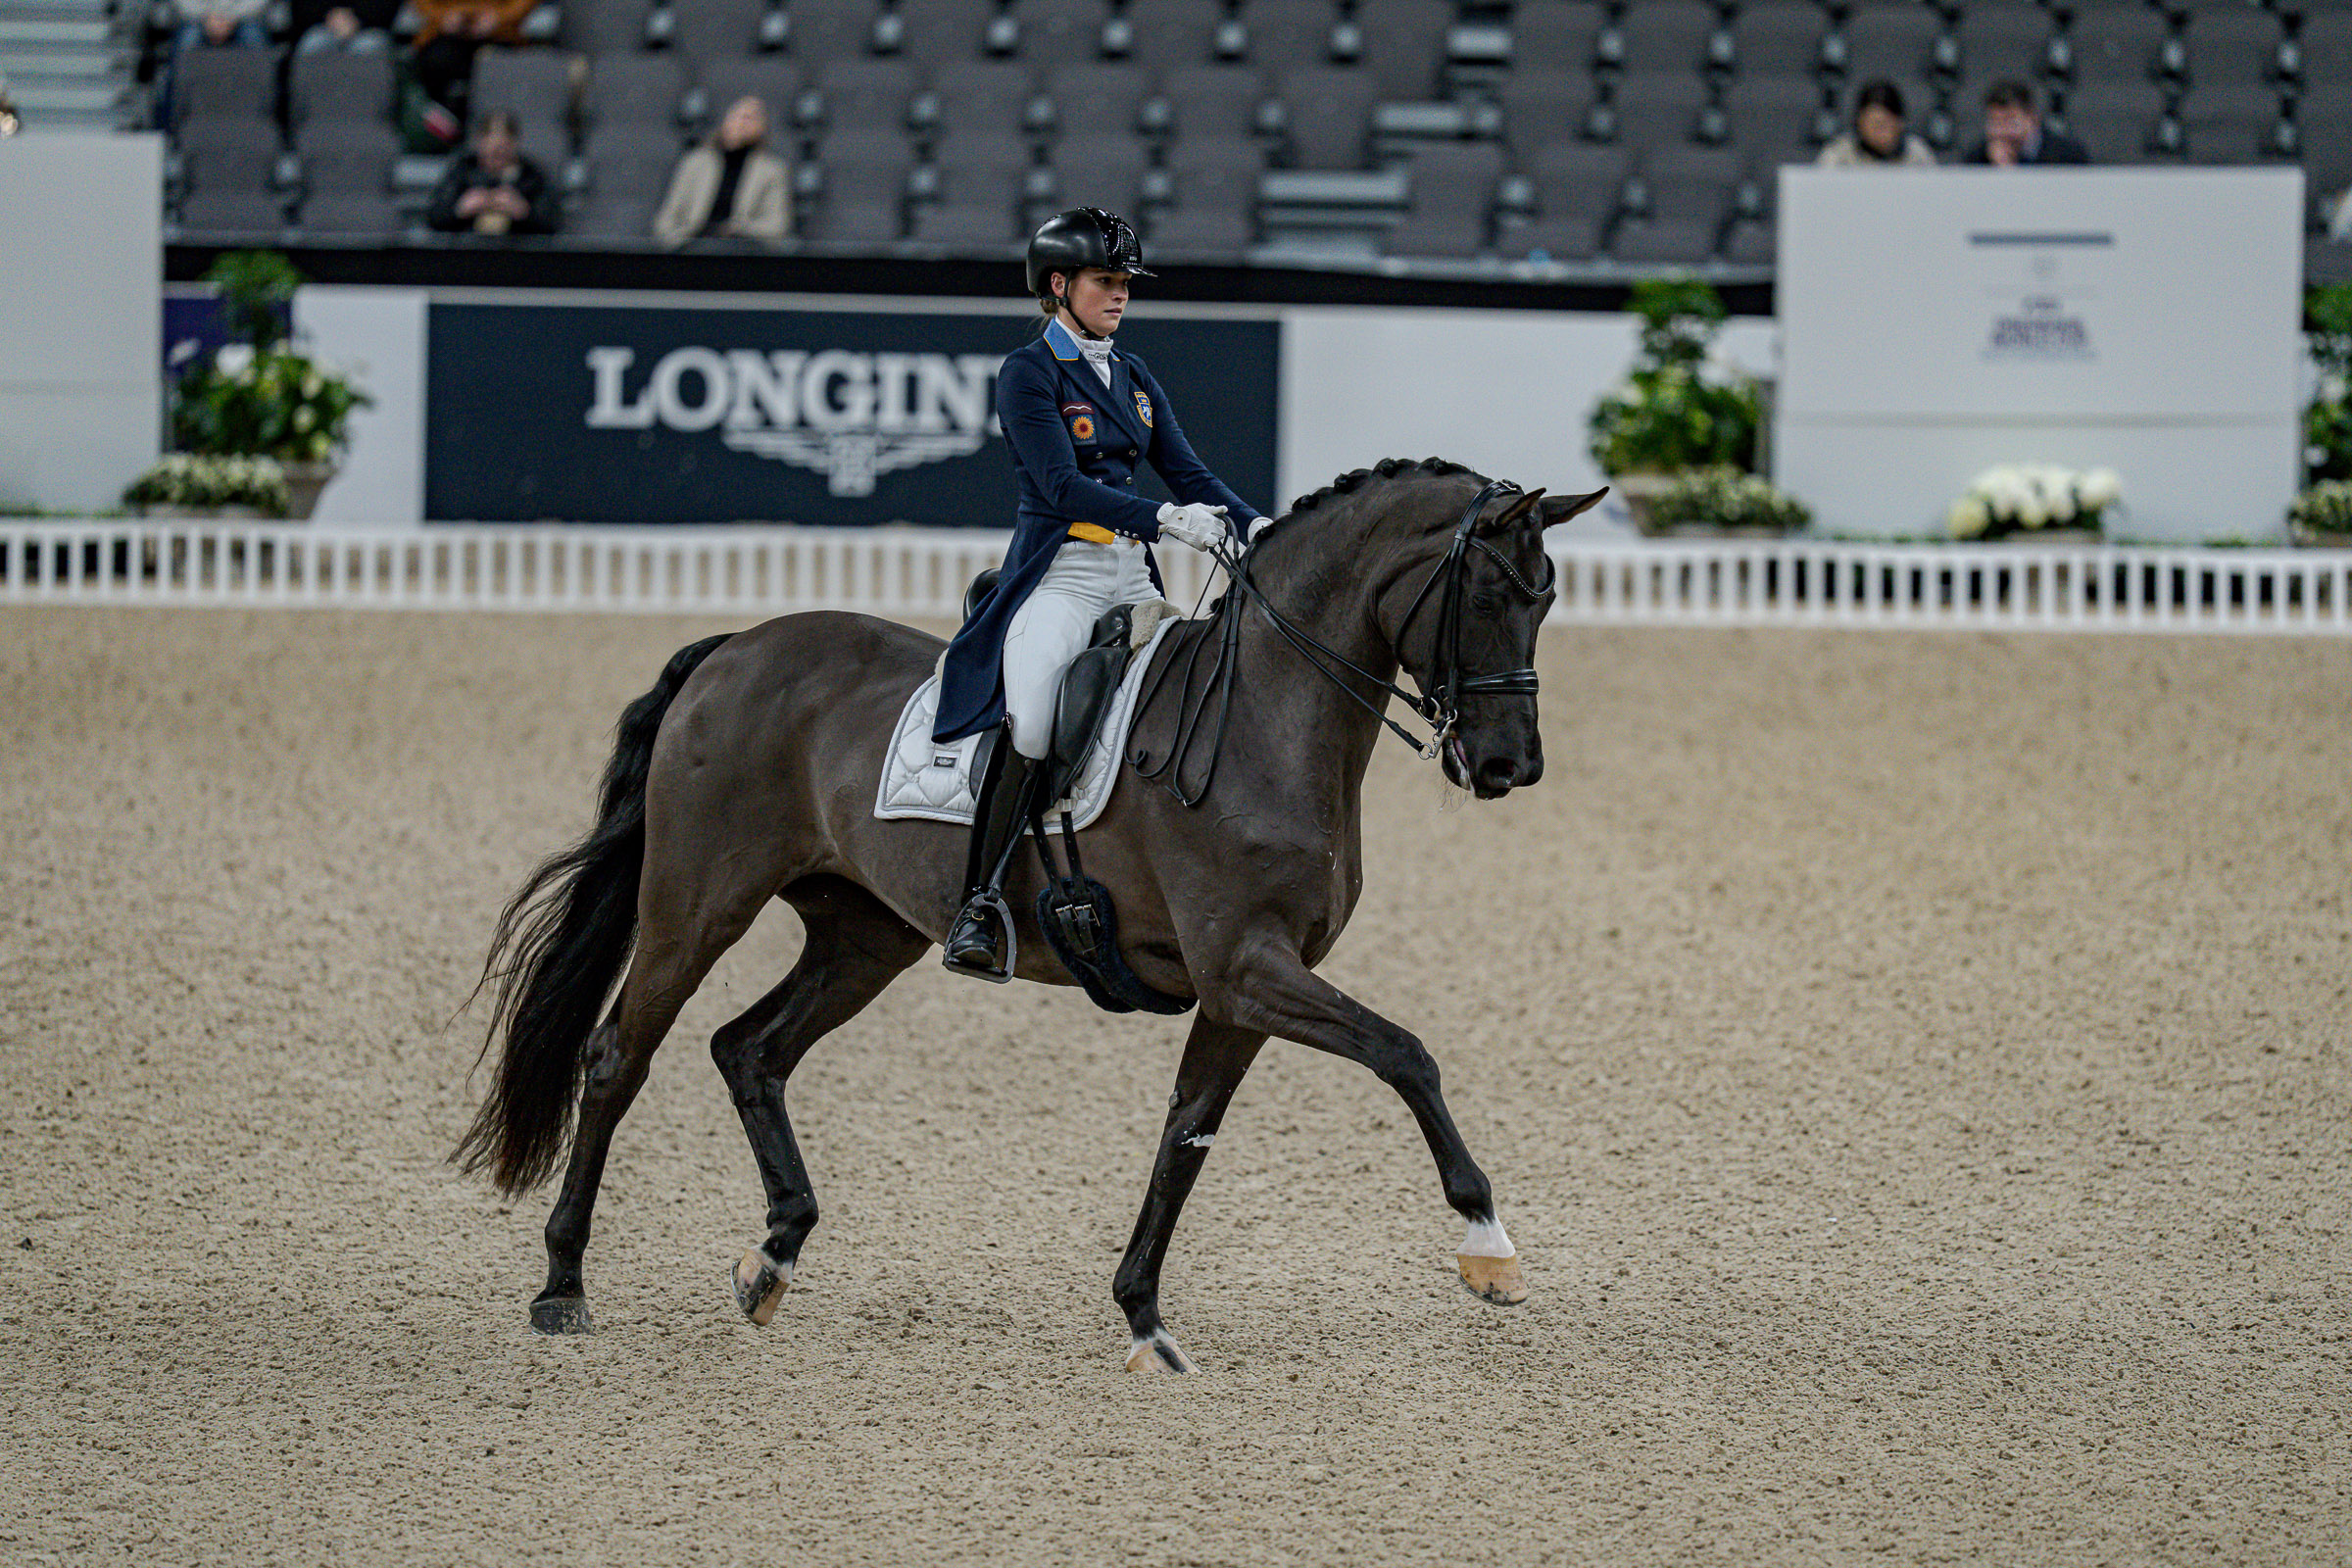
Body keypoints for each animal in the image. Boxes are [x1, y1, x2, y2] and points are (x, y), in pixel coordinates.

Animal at [456, 457, 1606, 1372]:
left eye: (1548, 598)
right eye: (1490, 592)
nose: (1510, 767)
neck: (1265, 720)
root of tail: (737, 647)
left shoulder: (1243, 990)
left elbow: (1186, 1134)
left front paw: (1144, 1318)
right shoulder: (1249, 968)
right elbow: (1407, 1055)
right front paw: (1489, 1245)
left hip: (864, 933)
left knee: (751, 1049)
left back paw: (773, 1256)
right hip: (699, 902)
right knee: (619, 1056)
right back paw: (562, 1285)